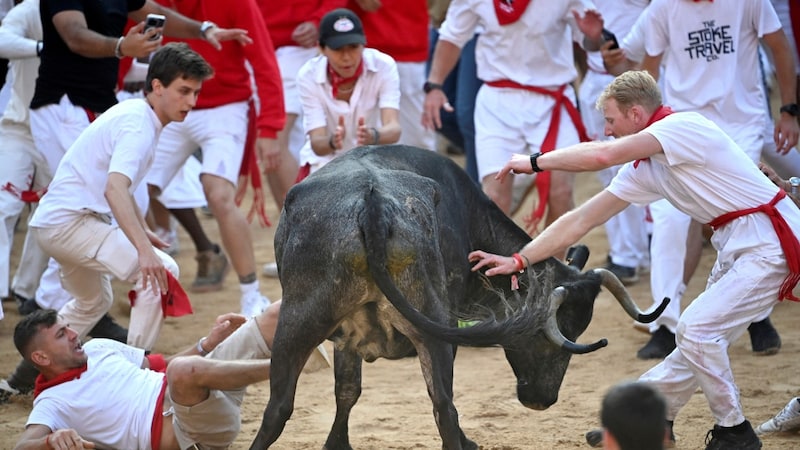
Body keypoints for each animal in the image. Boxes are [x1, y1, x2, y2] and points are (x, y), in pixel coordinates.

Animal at [252, 146, 668, 448]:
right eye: (545, 333)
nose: (542, 400)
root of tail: (372, 202)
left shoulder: (347, 337)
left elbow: (347, 390)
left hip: (300, 321)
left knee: (277, 408)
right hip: (430, 327)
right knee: (445, 411)